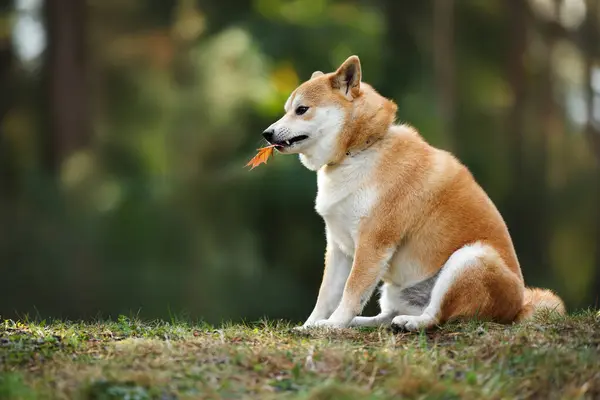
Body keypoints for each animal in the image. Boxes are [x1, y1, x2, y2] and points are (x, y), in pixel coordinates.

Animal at [260, 56, 564, 332]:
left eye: (301, 109)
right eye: (287, 110)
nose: (267, 133)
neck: (360, 150)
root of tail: (518, 306)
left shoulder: (373, 243)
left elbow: (351, 291)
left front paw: (333, 325)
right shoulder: (338, 247)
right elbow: (326, 295)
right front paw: (311, 325)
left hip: (469, 258)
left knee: (435, 316)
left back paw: (410, 322)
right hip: (396, 288)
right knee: (386, 316)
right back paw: (365, 322)